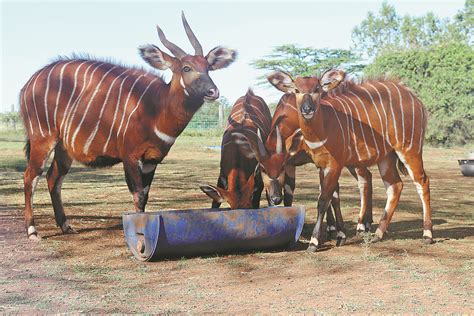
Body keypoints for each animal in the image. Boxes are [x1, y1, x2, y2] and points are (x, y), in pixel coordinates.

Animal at [19, 12, 237, 239]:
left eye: (208, 67)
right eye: (186, 68)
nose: (213, 91)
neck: (156, 107)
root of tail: (29, 83)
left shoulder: (151, 160)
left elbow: (145, 196)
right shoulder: (130, 156)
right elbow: (138, 196)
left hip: (63, 148)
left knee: (53, 178)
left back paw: (66, 226)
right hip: (42, 139)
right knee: (30, 177)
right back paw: (32, 230)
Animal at [268, 69, 432, 252]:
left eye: (317, 88)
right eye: (296, 89)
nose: (307, 109)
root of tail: (414, 98)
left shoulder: (333, 165)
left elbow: (323, 200)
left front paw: (315, 242)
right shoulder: (321, 166)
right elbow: (329, 196)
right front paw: (338, 235)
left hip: (409, 150)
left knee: (421, 181)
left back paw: (426, 234)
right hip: (386, 158)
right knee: (394, 185)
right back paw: (377, 234)